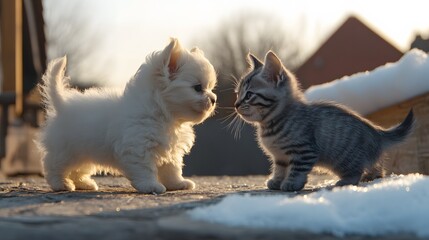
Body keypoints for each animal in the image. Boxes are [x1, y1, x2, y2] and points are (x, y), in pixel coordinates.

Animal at [36, 38, 216, 194]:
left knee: (78, 169)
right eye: (198, 88)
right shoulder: (138, 148)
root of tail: (62, 104)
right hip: (66, 150)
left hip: (85, 152)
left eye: (210, 87)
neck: (162, 113)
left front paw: (177, 184)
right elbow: (145, 170)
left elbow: (172, 169)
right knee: (53, 165)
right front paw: (150, 186)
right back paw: (61, 184)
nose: (214, 99)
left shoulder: (170, 150)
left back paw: (84, 183)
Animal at [234, 50, 414, 191]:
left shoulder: (305, 150)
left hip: (345, 159)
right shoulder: (280, 156)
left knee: (357, 171)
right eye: (237, 93)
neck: (271, 124)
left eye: (249, 95)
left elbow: (297, 169)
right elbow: (279, 169)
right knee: (377, 168)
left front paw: (291, 183)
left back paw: (344, 181)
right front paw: (276, 181)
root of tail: (376, 131)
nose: (236, 105)